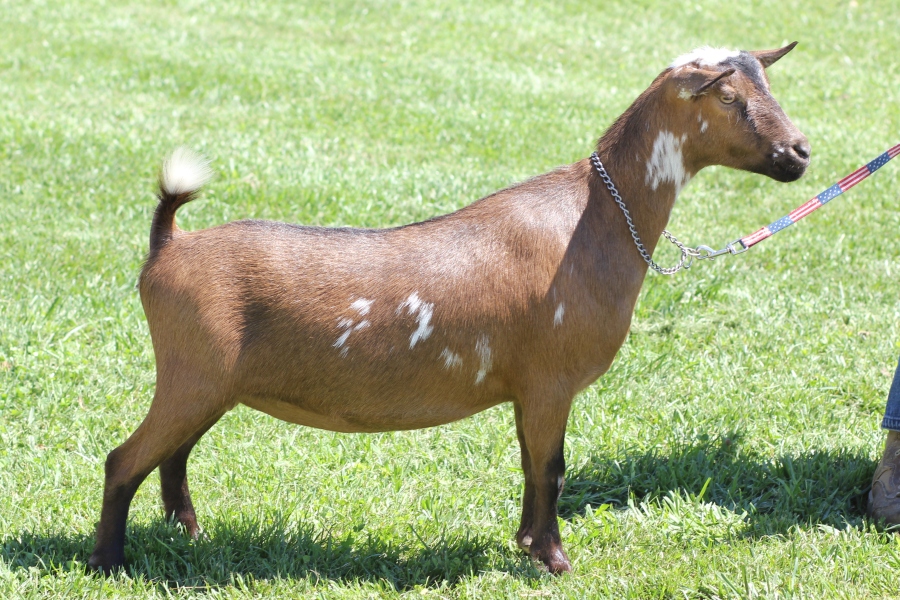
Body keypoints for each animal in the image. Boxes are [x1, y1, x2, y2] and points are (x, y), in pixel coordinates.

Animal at [88, 43, 810, 574]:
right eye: (731, 98)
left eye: (766, 88)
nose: (799, 153)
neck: (596, 218)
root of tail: (169, 245)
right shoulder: (551, 380)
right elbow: (553, 469)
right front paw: (554, 560)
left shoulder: (527, 388)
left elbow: (531, 466)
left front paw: (527, 546)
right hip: (192, 374)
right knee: (124, 459)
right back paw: (108, 562)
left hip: (213, 384)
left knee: (173, 455)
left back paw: (186, 534)